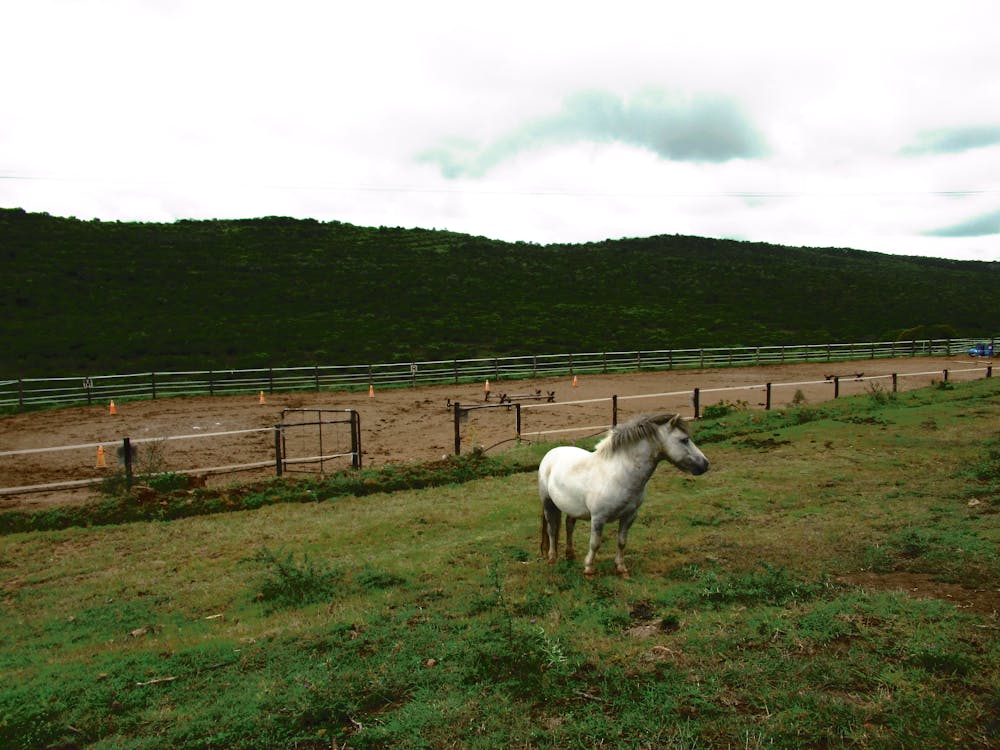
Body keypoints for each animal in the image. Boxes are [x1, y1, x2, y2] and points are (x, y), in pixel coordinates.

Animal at [540, 414, 712, 580]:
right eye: (684, 439)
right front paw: (589, 570)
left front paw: (621, 569)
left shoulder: (629, 515)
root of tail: (551, 453)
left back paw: (570, 555)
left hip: (573, 508)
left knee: (569, 526)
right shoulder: (598, 518)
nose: (705, 464)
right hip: (548, 503)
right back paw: (552, 558)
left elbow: (622, 542)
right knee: (552, 529)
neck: (619, 475)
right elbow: (595, 544)